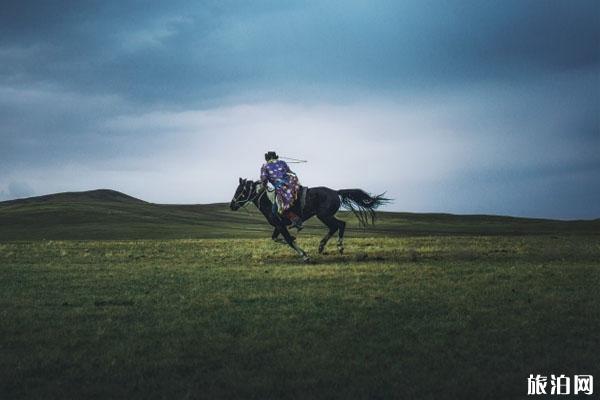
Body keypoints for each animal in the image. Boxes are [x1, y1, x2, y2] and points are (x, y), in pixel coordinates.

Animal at [230, 179, 390, 262]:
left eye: (241, 191)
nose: (232, 205)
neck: (269, 201)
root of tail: (335, 192)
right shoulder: (278, 226)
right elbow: (277, 238)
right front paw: (300, 246)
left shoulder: (281, 226)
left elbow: (288, 240)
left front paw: (304, 255)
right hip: (324, 216)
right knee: (335, 227)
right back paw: (321, 246)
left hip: (324, 215)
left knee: (340, 224)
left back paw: (339, 246)